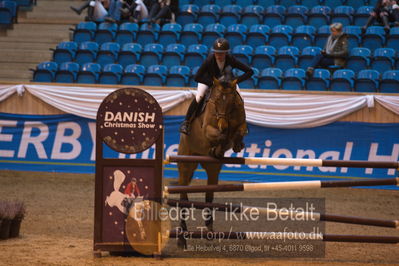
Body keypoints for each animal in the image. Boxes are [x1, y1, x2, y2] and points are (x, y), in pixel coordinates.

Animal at [177, 76, 248, 246]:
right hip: (185, 164)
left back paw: (209, 228)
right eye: (215, 101)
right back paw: (182, 236)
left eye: (232, 102)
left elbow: (239, 131)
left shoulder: (240, 123)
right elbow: (220, 136)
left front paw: (236, 144)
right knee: (183, 196)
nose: (223, 125)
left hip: (212, 168)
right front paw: (218, 145)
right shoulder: (208, 128)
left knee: (209, 197)